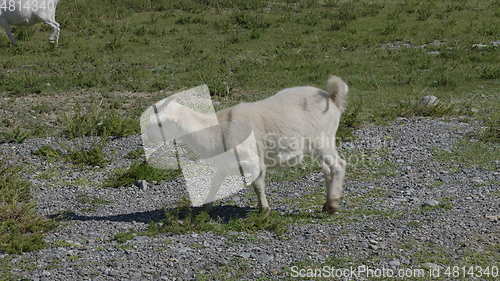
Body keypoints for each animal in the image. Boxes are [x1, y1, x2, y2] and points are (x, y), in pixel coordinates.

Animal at [165, 74, 348, 214]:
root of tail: (332, 98)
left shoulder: (253, 159)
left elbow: (257, 185)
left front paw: (264, 210)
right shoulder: (225, 163)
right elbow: (215, 184)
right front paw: (205, 208)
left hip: (323, 140)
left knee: (338, 165)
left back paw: (333, 205)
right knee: (327, 169)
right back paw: (327, 204)